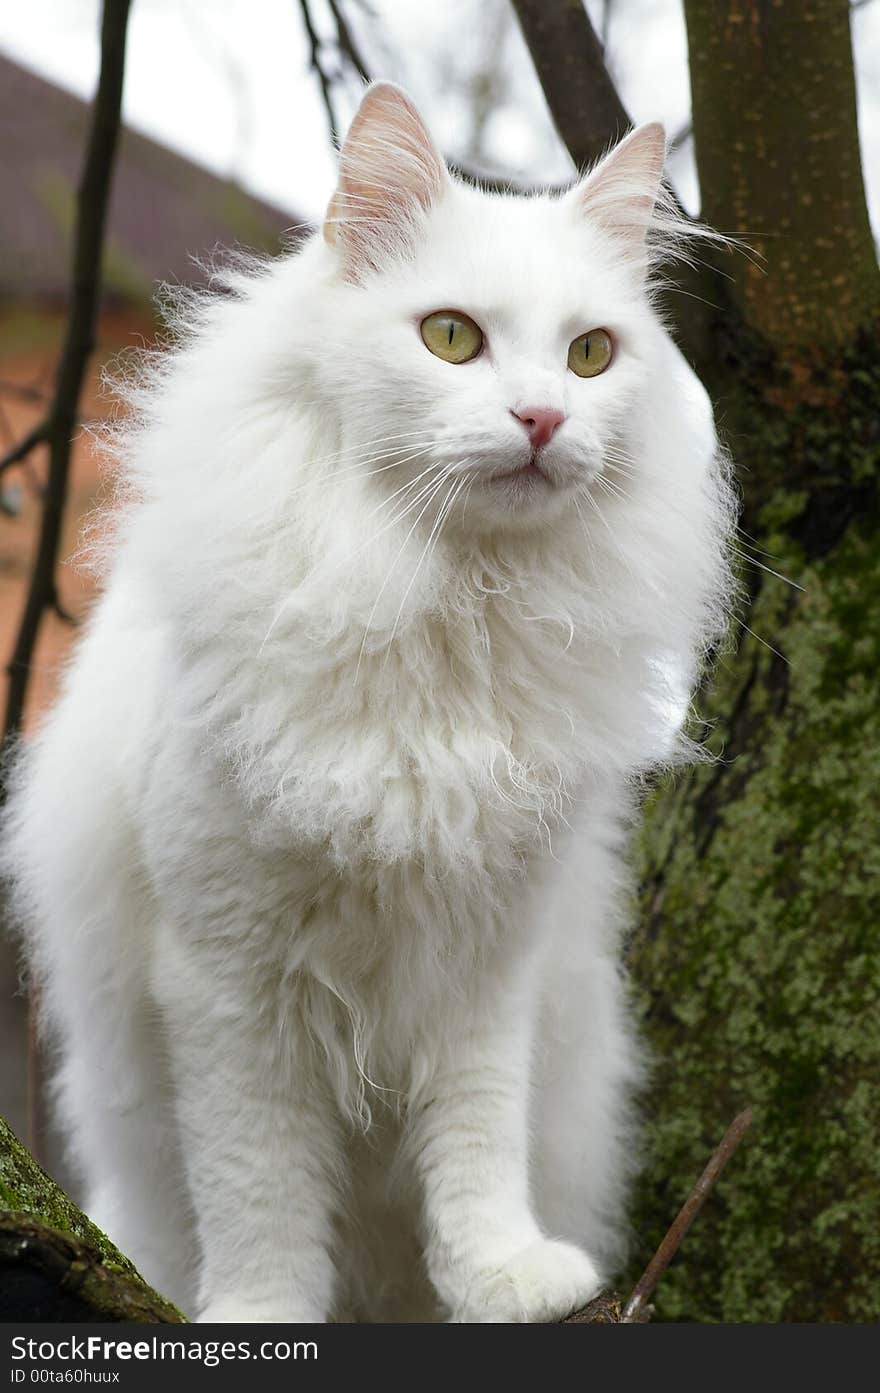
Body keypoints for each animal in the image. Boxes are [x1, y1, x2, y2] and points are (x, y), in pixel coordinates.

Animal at [3, 81, 729, 1320]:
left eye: (590, 355)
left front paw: (502, 1275)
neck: (447, 612)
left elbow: (476, 1144)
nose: (544, 420)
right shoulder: (230, 979)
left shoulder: (489, 961)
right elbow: (261, 1188)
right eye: (452, 338)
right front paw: (261, 1314)